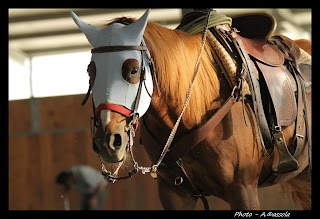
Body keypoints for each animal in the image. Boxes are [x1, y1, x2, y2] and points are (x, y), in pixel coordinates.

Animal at [71, 9, 312, 210]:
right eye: (90, 71)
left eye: (132, 70)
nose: (108, 141)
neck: (192, 110)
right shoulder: (175, 194)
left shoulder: (243, 189)